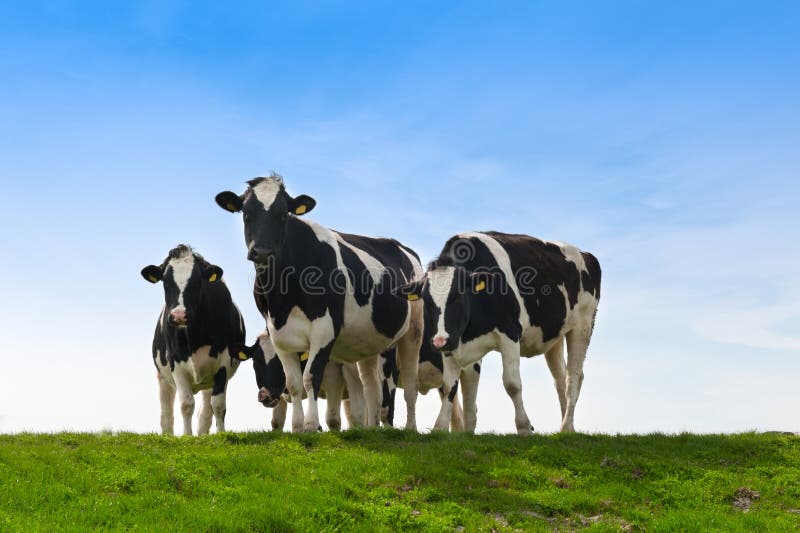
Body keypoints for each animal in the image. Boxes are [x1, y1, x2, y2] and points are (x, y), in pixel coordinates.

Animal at [141, 245, 247, 436]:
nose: (179, 316)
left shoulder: (223, 363)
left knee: (206, 411)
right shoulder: (175, 363)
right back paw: (168, 434)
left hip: (209, 379)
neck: (194, 337)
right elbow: (186, 404)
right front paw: (187, 436)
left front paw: (221, 435)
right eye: (165, 282)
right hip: (163, 377)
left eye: (197, 282)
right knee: (166, 413)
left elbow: (218, 405)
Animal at [212, 175, 424, 432]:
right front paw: (297, 427)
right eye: (246, 213)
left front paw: (311, 425)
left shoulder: (325, 329)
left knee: (410, 385)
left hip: (412, 331)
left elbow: (310, 377)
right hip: (369, 341)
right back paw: (371, 429)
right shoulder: (277, 334)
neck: (283, 298)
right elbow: (294, 383)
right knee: (371, 387)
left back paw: (410, 428)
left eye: (283, 215)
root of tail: (399, 245)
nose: (261, 251)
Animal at [396, 231, 600, 434]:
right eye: (426, 300)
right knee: (560, 378)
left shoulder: (509, 332)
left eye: (458, 296)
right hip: (554, 336)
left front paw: (524, 428)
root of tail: (585, 254)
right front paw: (442, 428)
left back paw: (566, 427)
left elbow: (512, 383)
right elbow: (450, 386)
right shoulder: (452, 341)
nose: (439, 342)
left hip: (583, 324)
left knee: (573, 378)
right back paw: (566, 426)